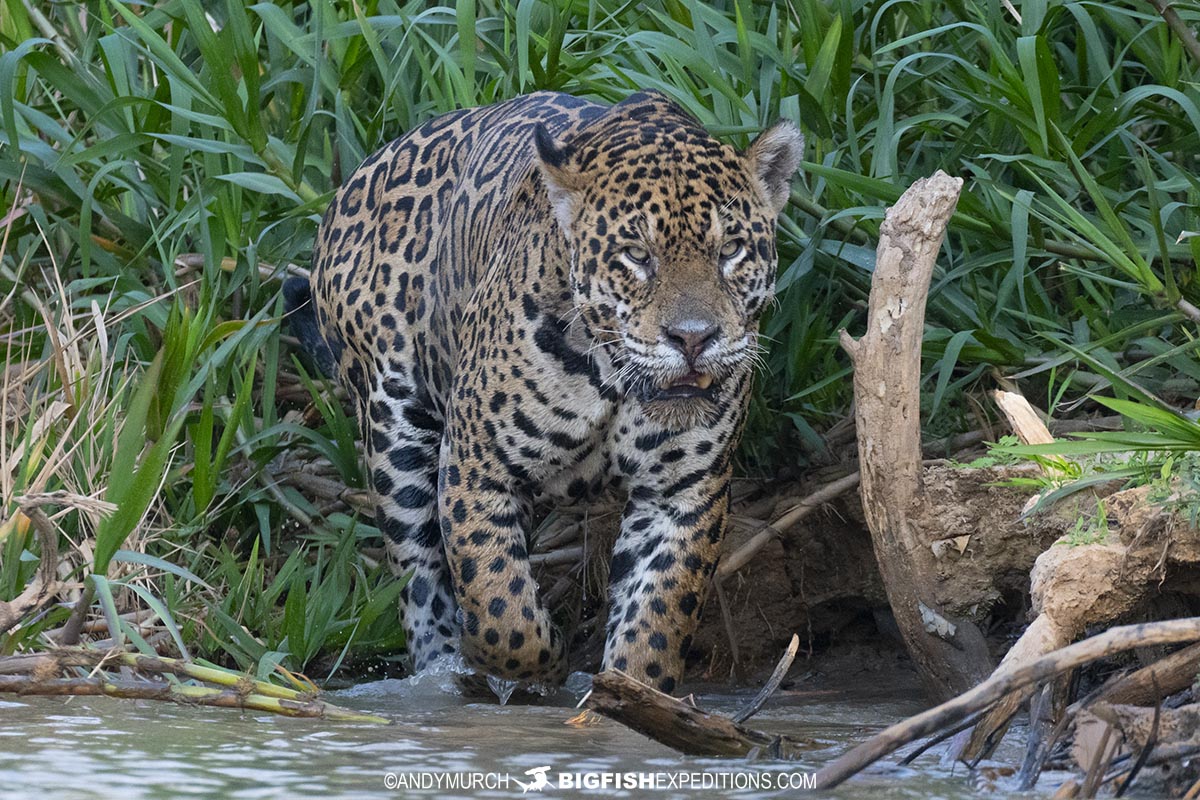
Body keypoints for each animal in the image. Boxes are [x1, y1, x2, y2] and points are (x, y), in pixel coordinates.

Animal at [287, 90, 803, 694]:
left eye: (733, 250)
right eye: (637, 255)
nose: (694, 338)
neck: (613, 380)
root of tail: (350, 184)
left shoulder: (683, 494)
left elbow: (655, 622)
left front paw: (627, 697)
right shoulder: (476, 467)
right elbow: (499, 608)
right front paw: (545, 664)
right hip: (395, 432)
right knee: (418, 577)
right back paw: (444, 674)